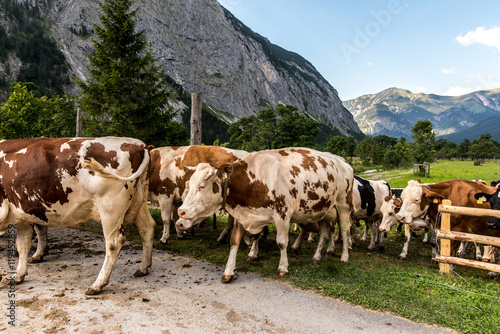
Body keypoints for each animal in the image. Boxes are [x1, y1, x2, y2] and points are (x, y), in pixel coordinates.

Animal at [0, 137, 155, 294]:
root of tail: (139, 144)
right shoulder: (22, 218)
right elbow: (23, 245)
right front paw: (18, 275)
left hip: (110, 207)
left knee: (114, 243)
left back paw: (97, 284)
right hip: (139, 201)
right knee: (147, 228)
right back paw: (143, 268)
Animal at [178, 148, 354, 282]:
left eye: (202, 186)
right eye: (189, 185)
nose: (181, 211)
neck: (254, 180)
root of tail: (342, 161)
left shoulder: (282, 215)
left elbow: (281, 242)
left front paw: (283, 267)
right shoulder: (244, 215)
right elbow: (236, 241)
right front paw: (233, 268)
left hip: (343, 204)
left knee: (345, 230)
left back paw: (345, 257)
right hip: (323, 210)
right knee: (324, 233)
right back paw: (317, 257)